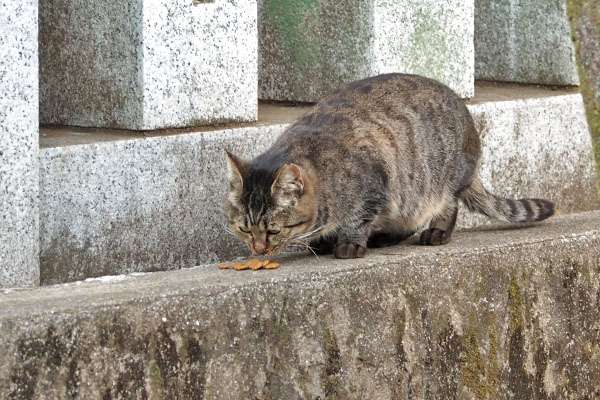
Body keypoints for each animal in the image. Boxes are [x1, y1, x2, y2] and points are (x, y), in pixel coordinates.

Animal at [224, 73, 552, 258]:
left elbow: (356, 221)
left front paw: (348, 244)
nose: (258, 250)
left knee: (445, 208)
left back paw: (435, 232)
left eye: (273, 231)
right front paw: (326, 241)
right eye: (244, 228)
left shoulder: (373, 189)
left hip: (435, 184)